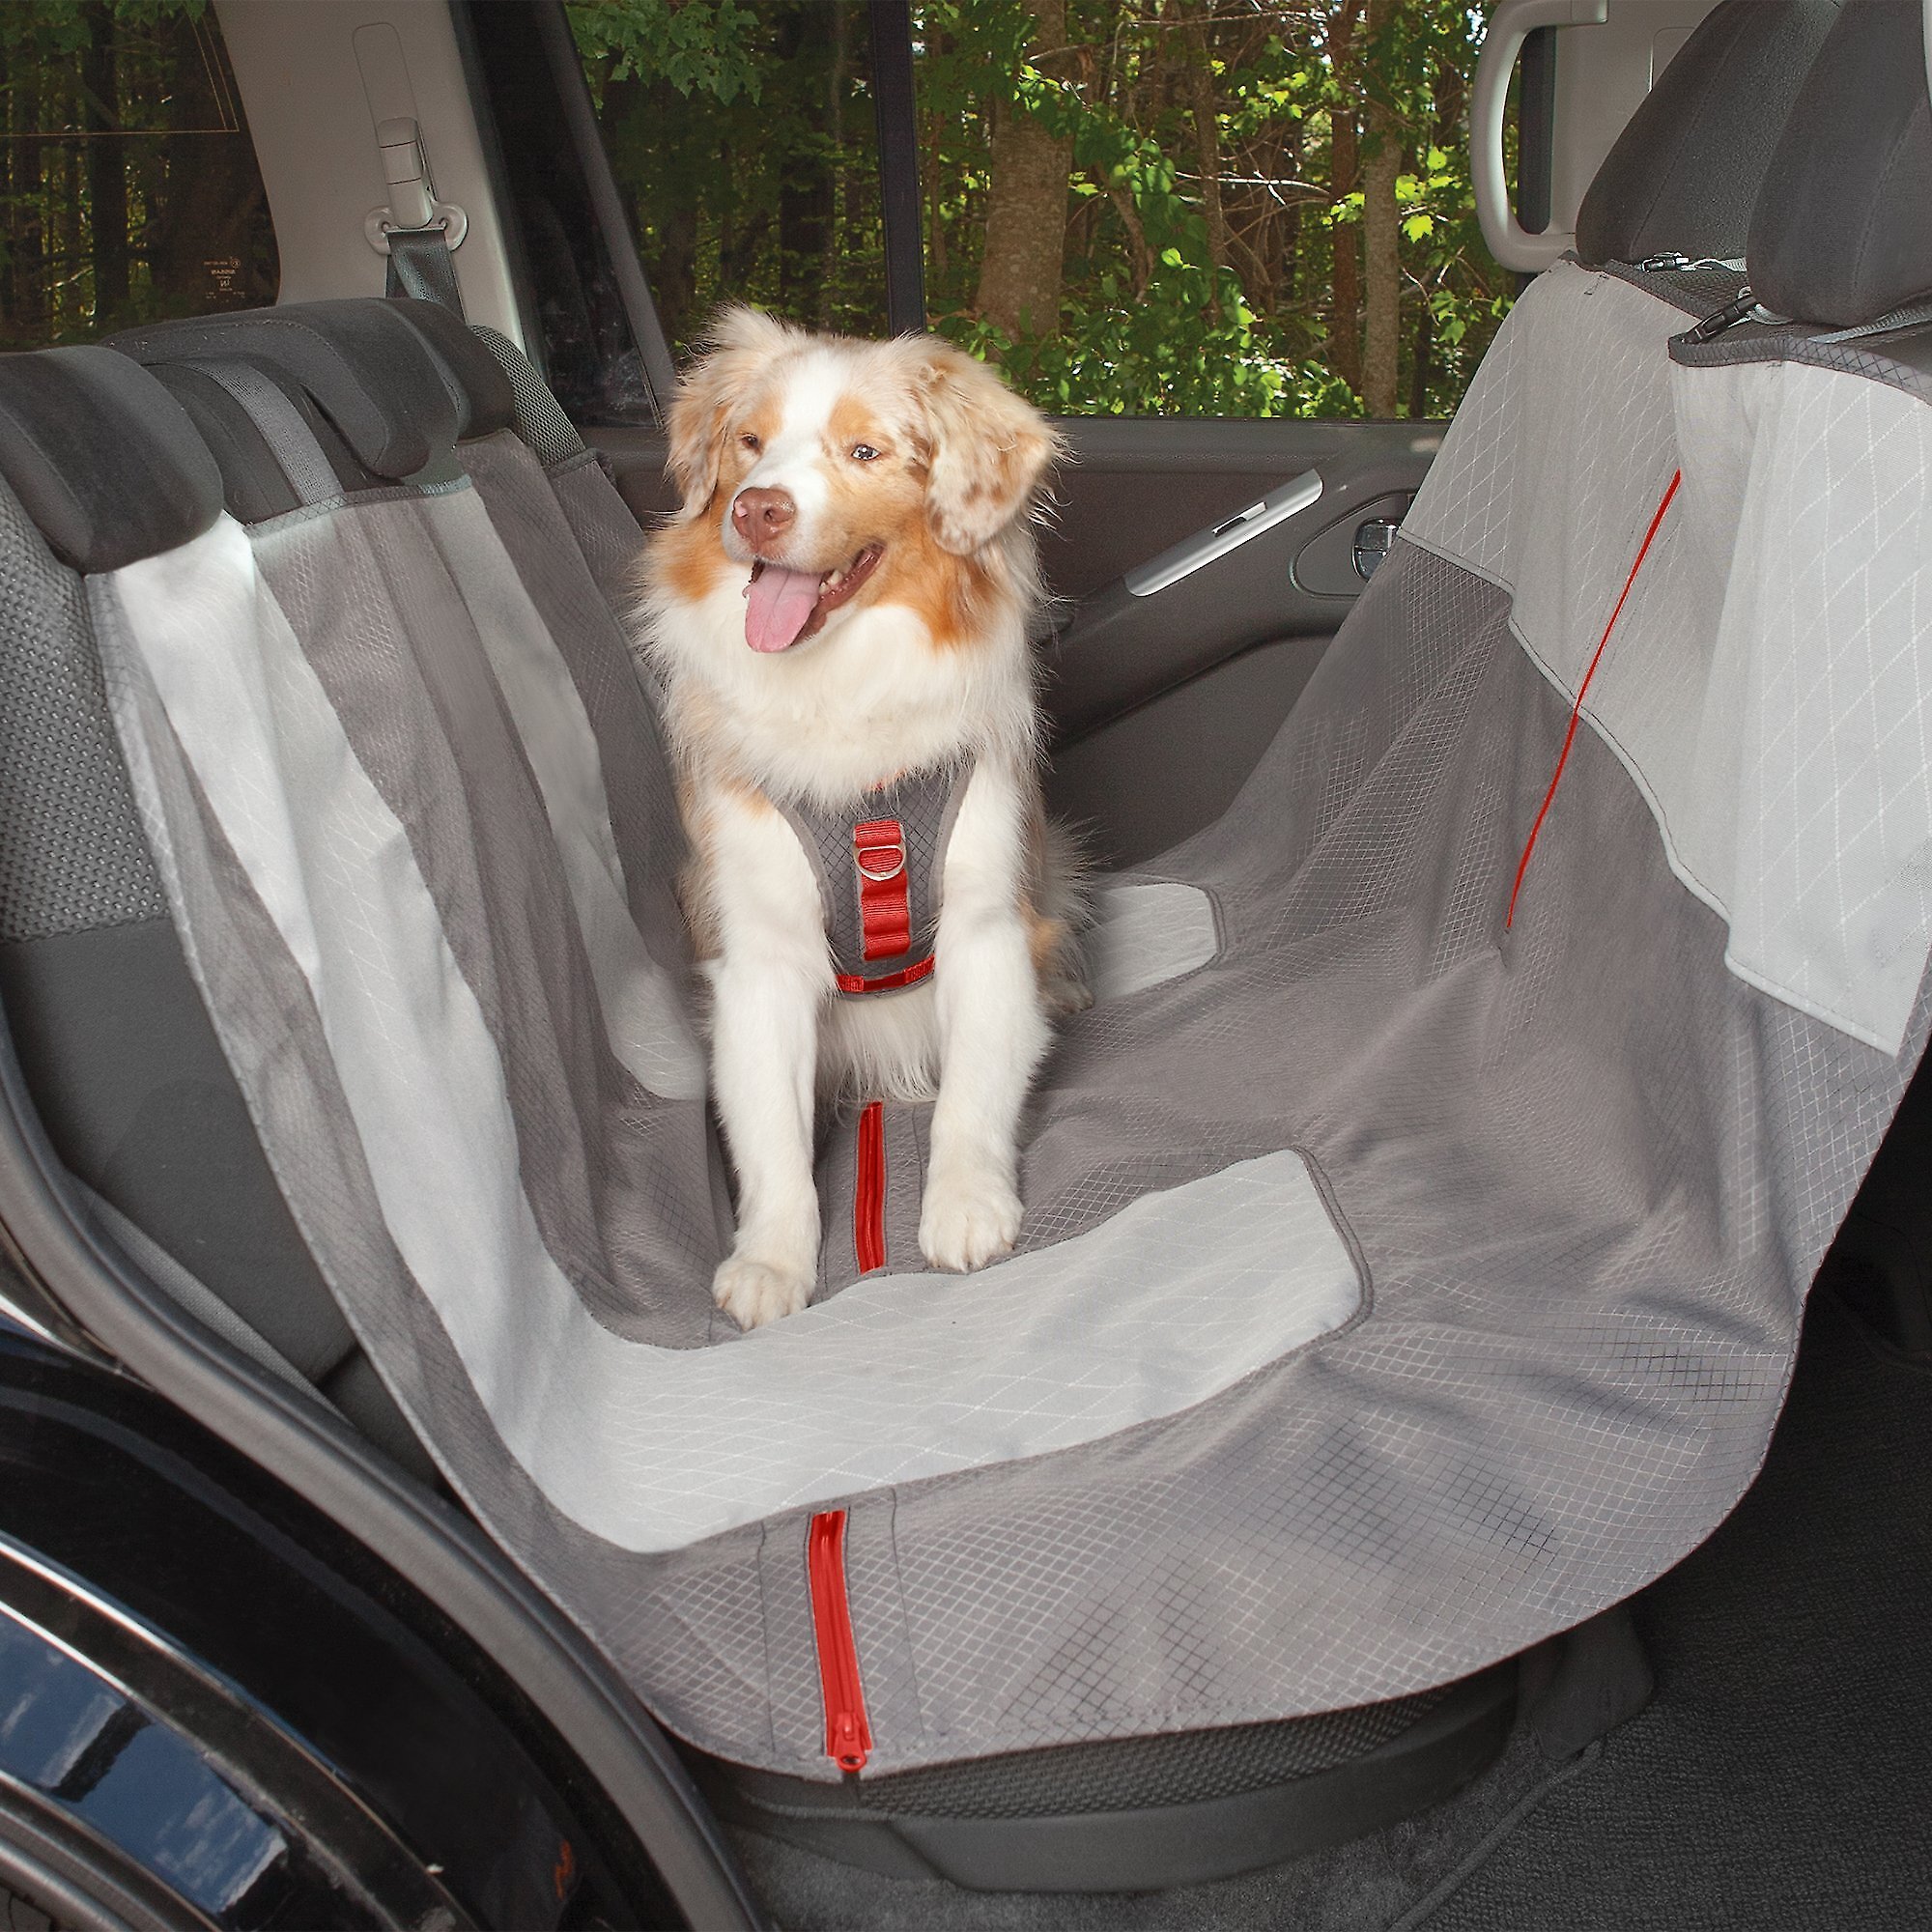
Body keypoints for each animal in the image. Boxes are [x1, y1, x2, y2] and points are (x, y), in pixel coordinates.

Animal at [638, 305, 1082, 1329]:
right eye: (749, 443)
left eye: (865, 450)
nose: (755, 509)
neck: (840, 694)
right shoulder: (758, 957)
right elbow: (769, 1136)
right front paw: (770, 1261)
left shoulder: (989, 924)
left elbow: (972, 1092)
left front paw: (967, 1206)